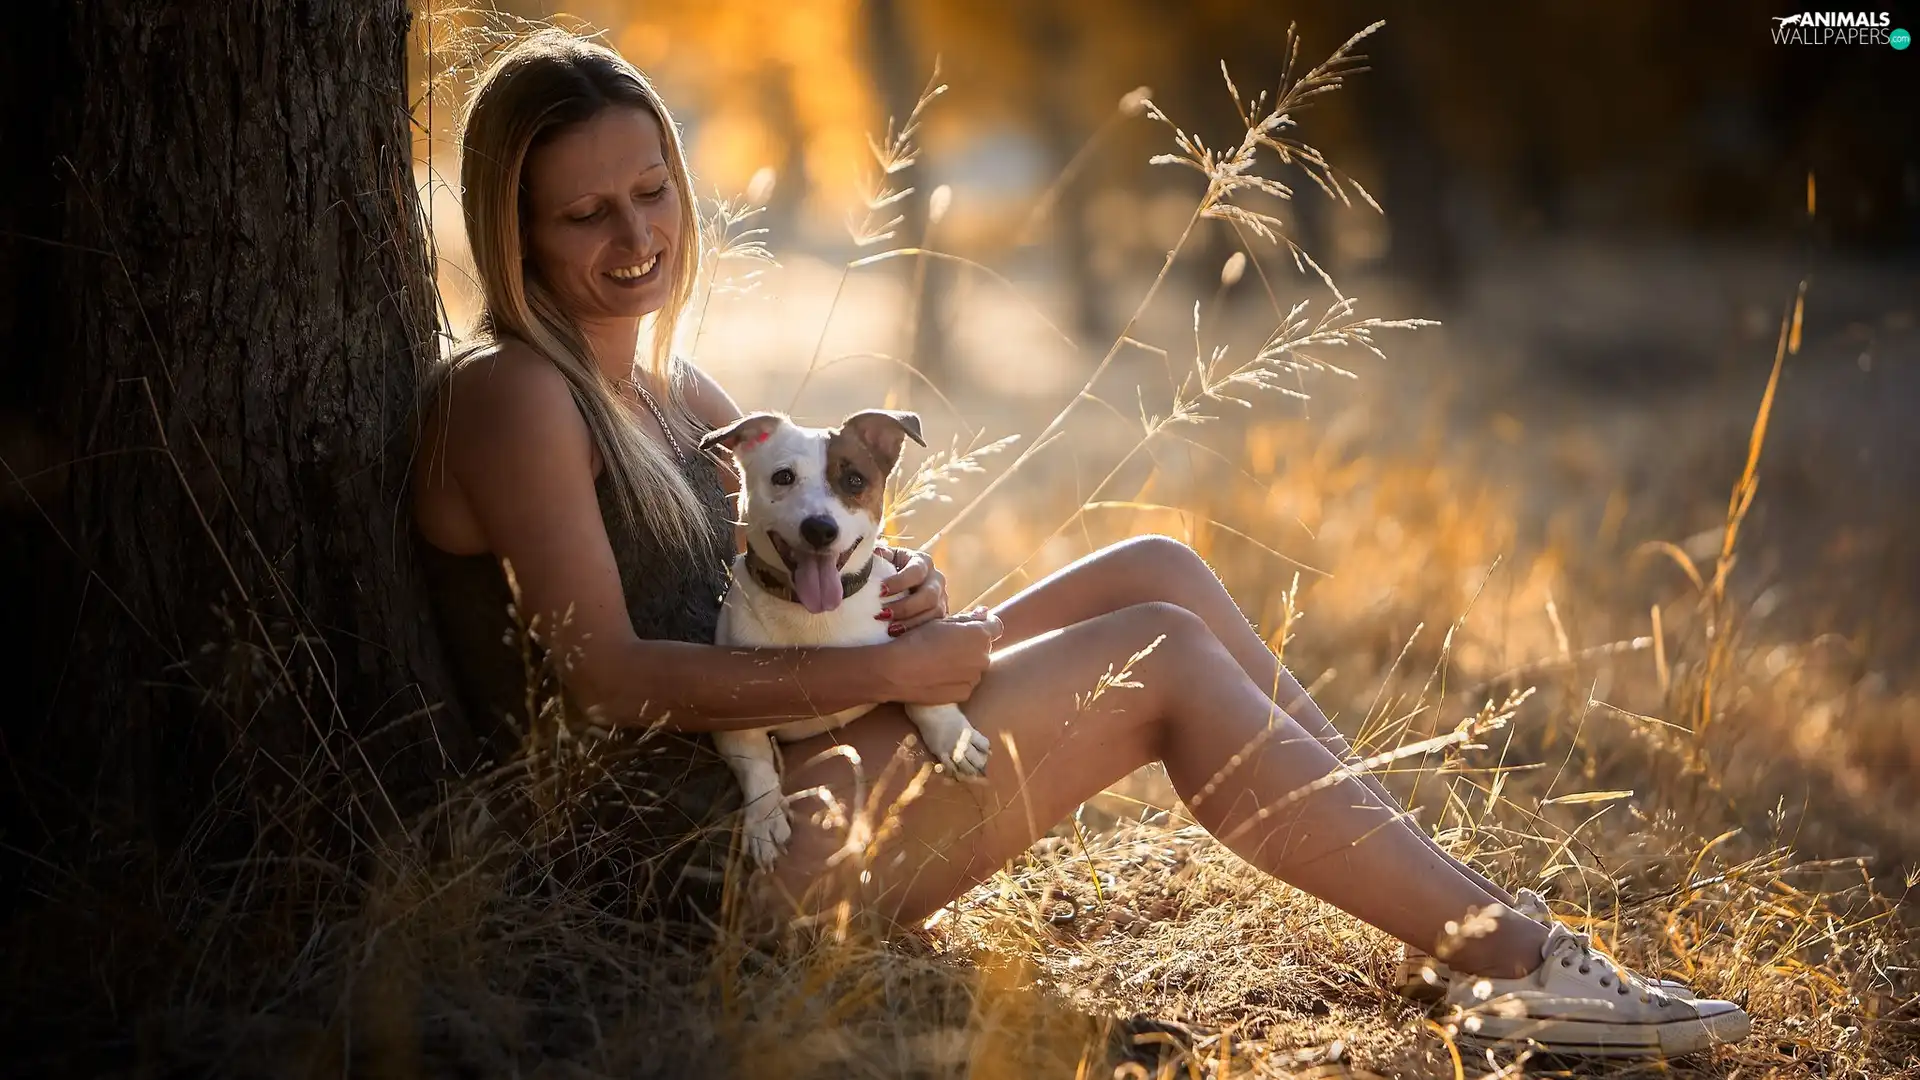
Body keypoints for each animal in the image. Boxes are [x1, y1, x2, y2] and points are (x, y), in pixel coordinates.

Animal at [698, 405, 990, 864]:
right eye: (783, 477)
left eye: (854, 480)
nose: (820, 528)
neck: (815, 615)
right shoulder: (732, 721)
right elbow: (756, 764)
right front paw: (764, 819)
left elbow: (929, 697)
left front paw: (953, 737)